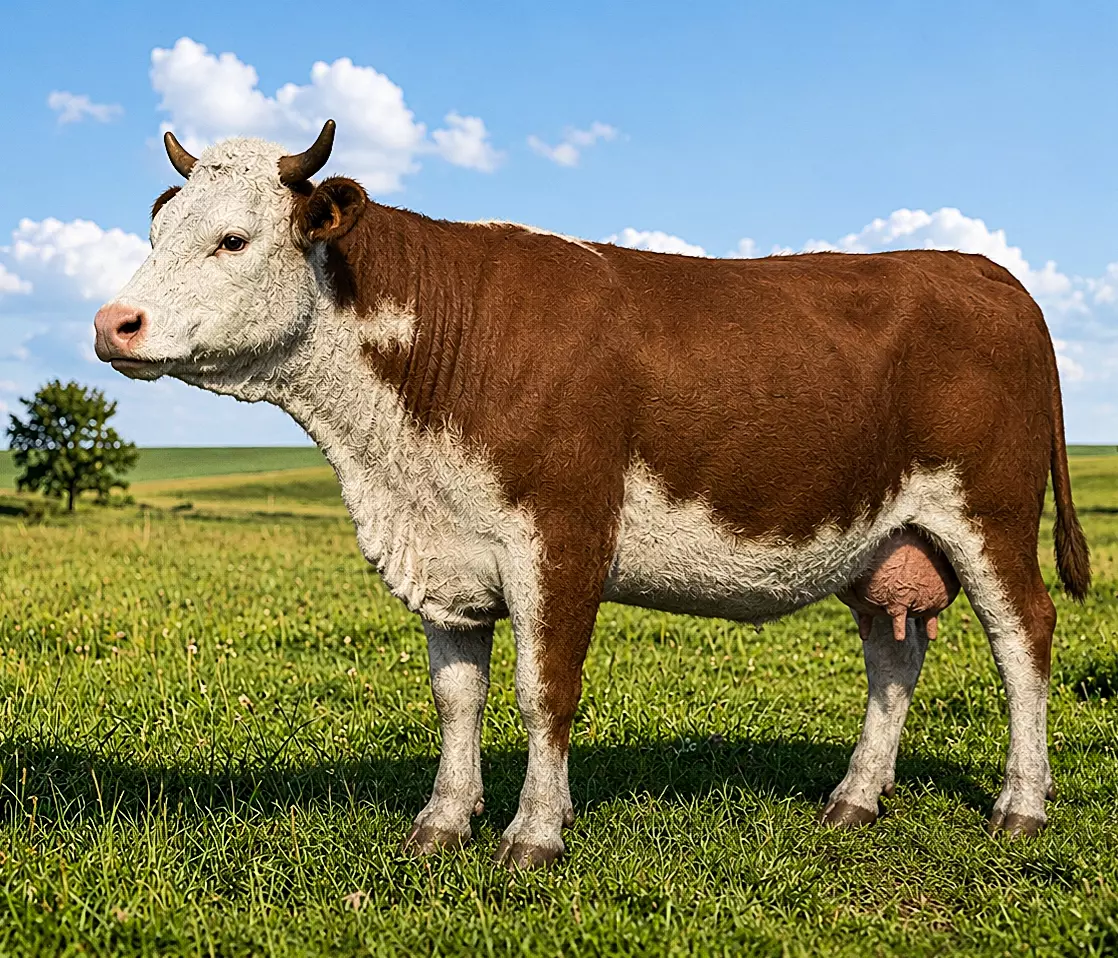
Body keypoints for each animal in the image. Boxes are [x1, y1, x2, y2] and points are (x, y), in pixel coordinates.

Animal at [94, 121, 1090, 868]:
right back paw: (854, 798)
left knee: (1023, 638)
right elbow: (456, 697)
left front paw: (534, 834)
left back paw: (1021, 804)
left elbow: (545, 693)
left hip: (991, 513)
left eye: (233, 238)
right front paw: (442, 823)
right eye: (157, 235)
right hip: (883, 534)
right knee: (894, 654)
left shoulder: (562, 537)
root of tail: (985, 271)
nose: (112, 322)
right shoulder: (447, 553)